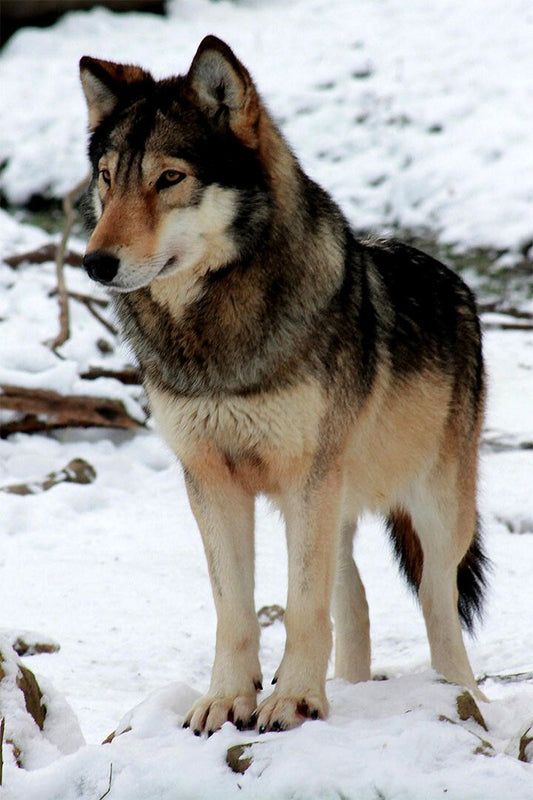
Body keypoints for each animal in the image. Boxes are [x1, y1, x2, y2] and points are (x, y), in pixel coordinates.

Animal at [79, 35, 488, 735]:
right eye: (108, 178)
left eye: (169, 178)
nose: (95, 263)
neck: (214, 339)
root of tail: (457, 283)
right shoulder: (209, 479)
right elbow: (235, 611)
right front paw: (227, 700)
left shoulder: (306, 479)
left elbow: (300, 608)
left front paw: (293, 700)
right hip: (338, 506)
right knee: (354, 602)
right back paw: (349, 687)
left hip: (429, 512)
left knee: (437, 607)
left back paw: (461, 699)